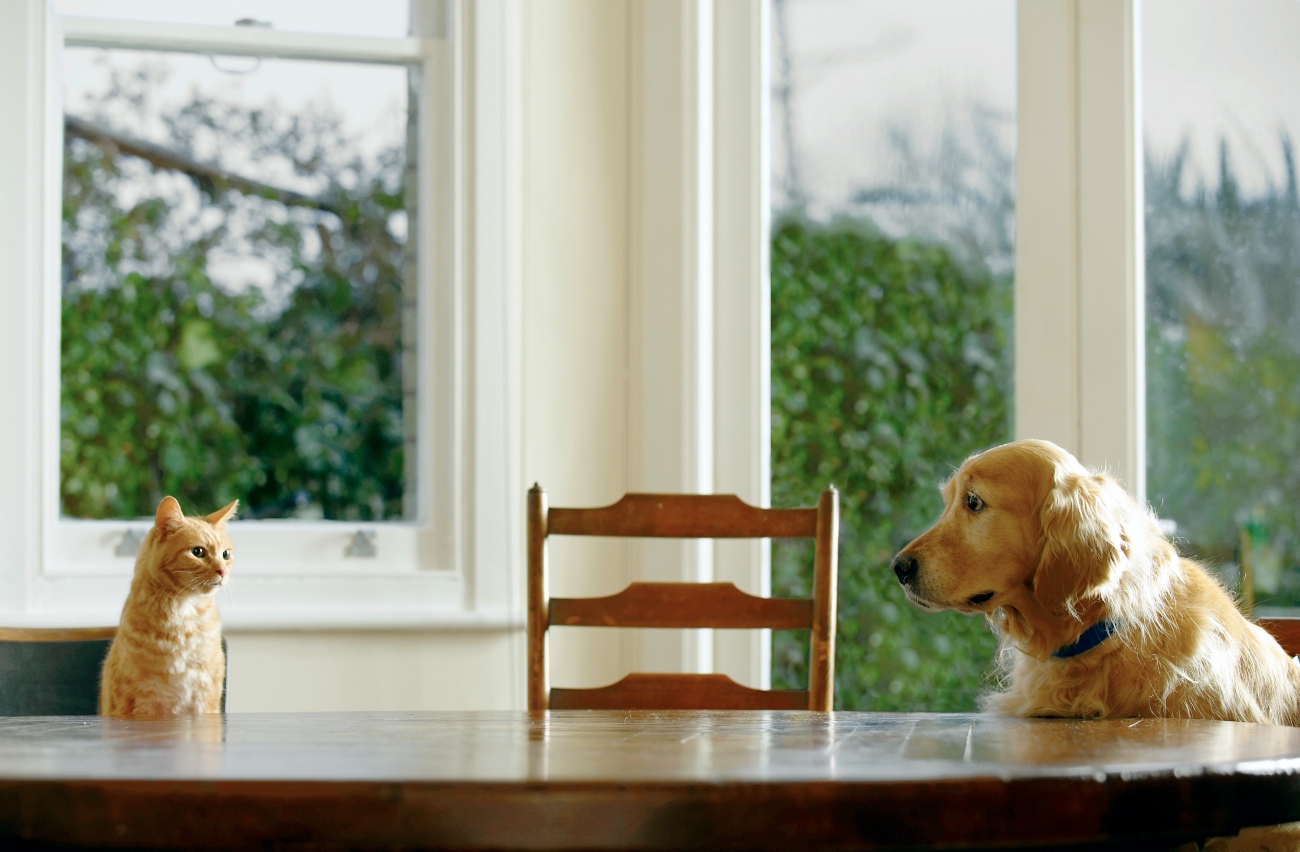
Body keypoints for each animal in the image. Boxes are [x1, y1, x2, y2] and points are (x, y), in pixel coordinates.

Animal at [98, 496, 239, 718]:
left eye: (226, 554)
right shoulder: (133, 703)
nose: (223, 571)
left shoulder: (206, 699)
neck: (184, 615)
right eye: (198, 552)